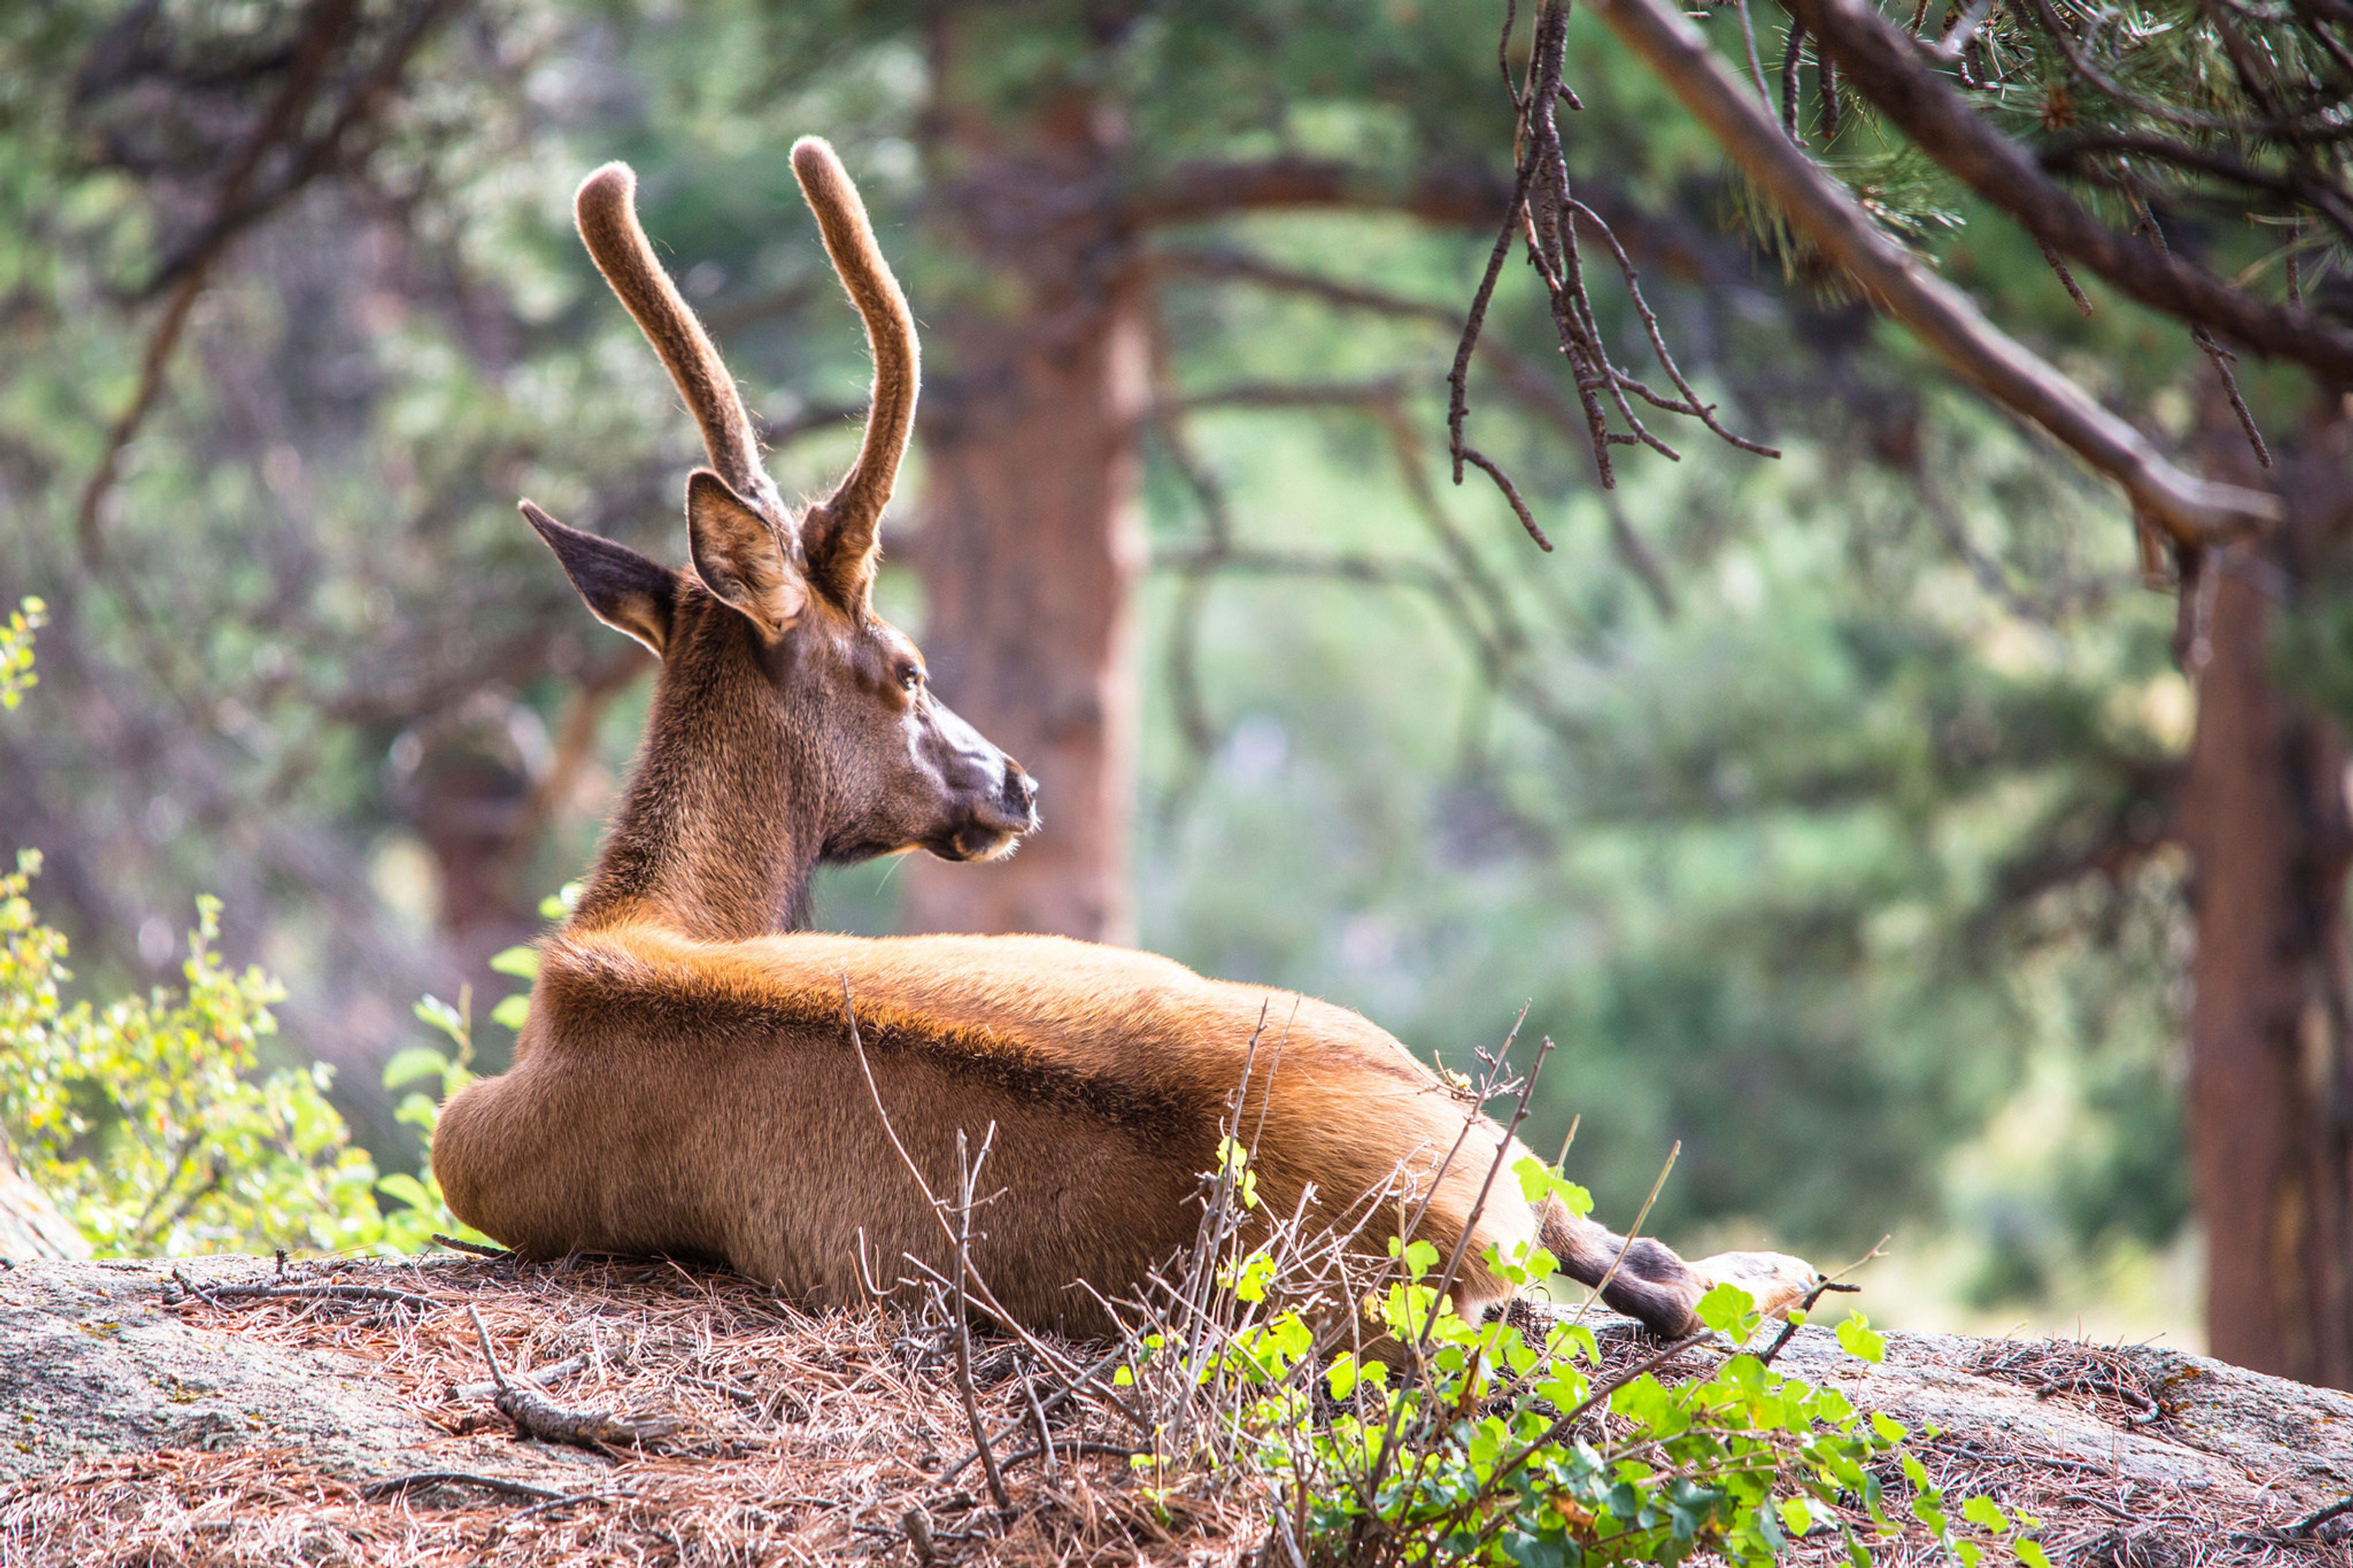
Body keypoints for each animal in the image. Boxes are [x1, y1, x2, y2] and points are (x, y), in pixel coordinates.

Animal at [428, 134, 1816, 1337]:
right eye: (909, 667)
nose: (1017, 781)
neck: (640, 929)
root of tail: (1468, 1224)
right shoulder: (461, 1144)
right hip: (1445, 1109)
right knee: (1647, 1271)